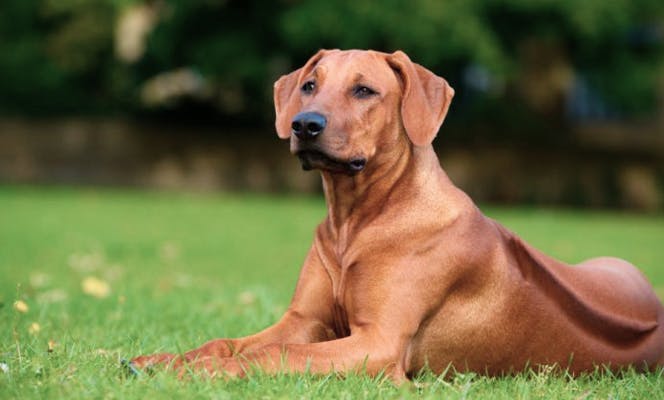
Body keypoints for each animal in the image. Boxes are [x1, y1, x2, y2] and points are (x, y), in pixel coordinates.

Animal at [131, 48, 664, 380]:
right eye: (308, 86)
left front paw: (204, 371)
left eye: (364, 91)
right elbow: (232, 341)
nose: (304, 125)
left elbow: (279, 352)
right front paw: (167, 358)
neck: (356, 221)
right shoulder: (303, 318)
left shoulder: (379, 343)